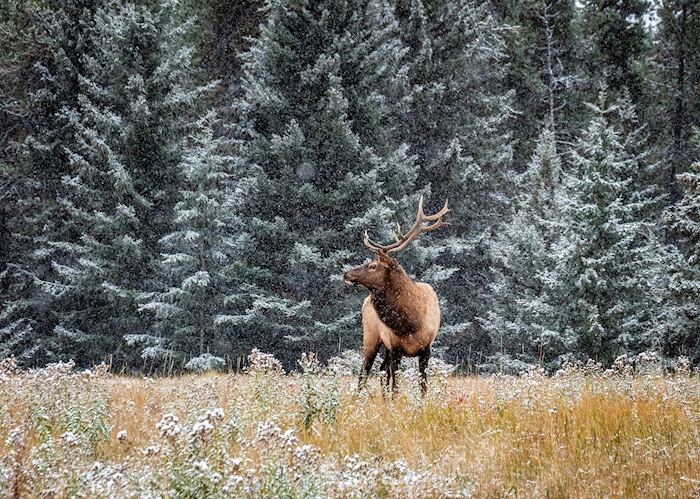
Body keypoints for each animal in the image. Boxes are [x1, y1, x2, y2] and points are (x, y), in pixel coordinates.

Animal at [343, 195, 449, 395]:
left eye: (372, 266)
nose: (346, 274)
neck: (411, 323)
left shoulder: (426, 349)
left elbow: (423, 386)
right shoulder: (395, 347)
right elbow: (396, 388)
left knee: (381, 370)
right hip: (370, 336)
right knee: (365, 372)